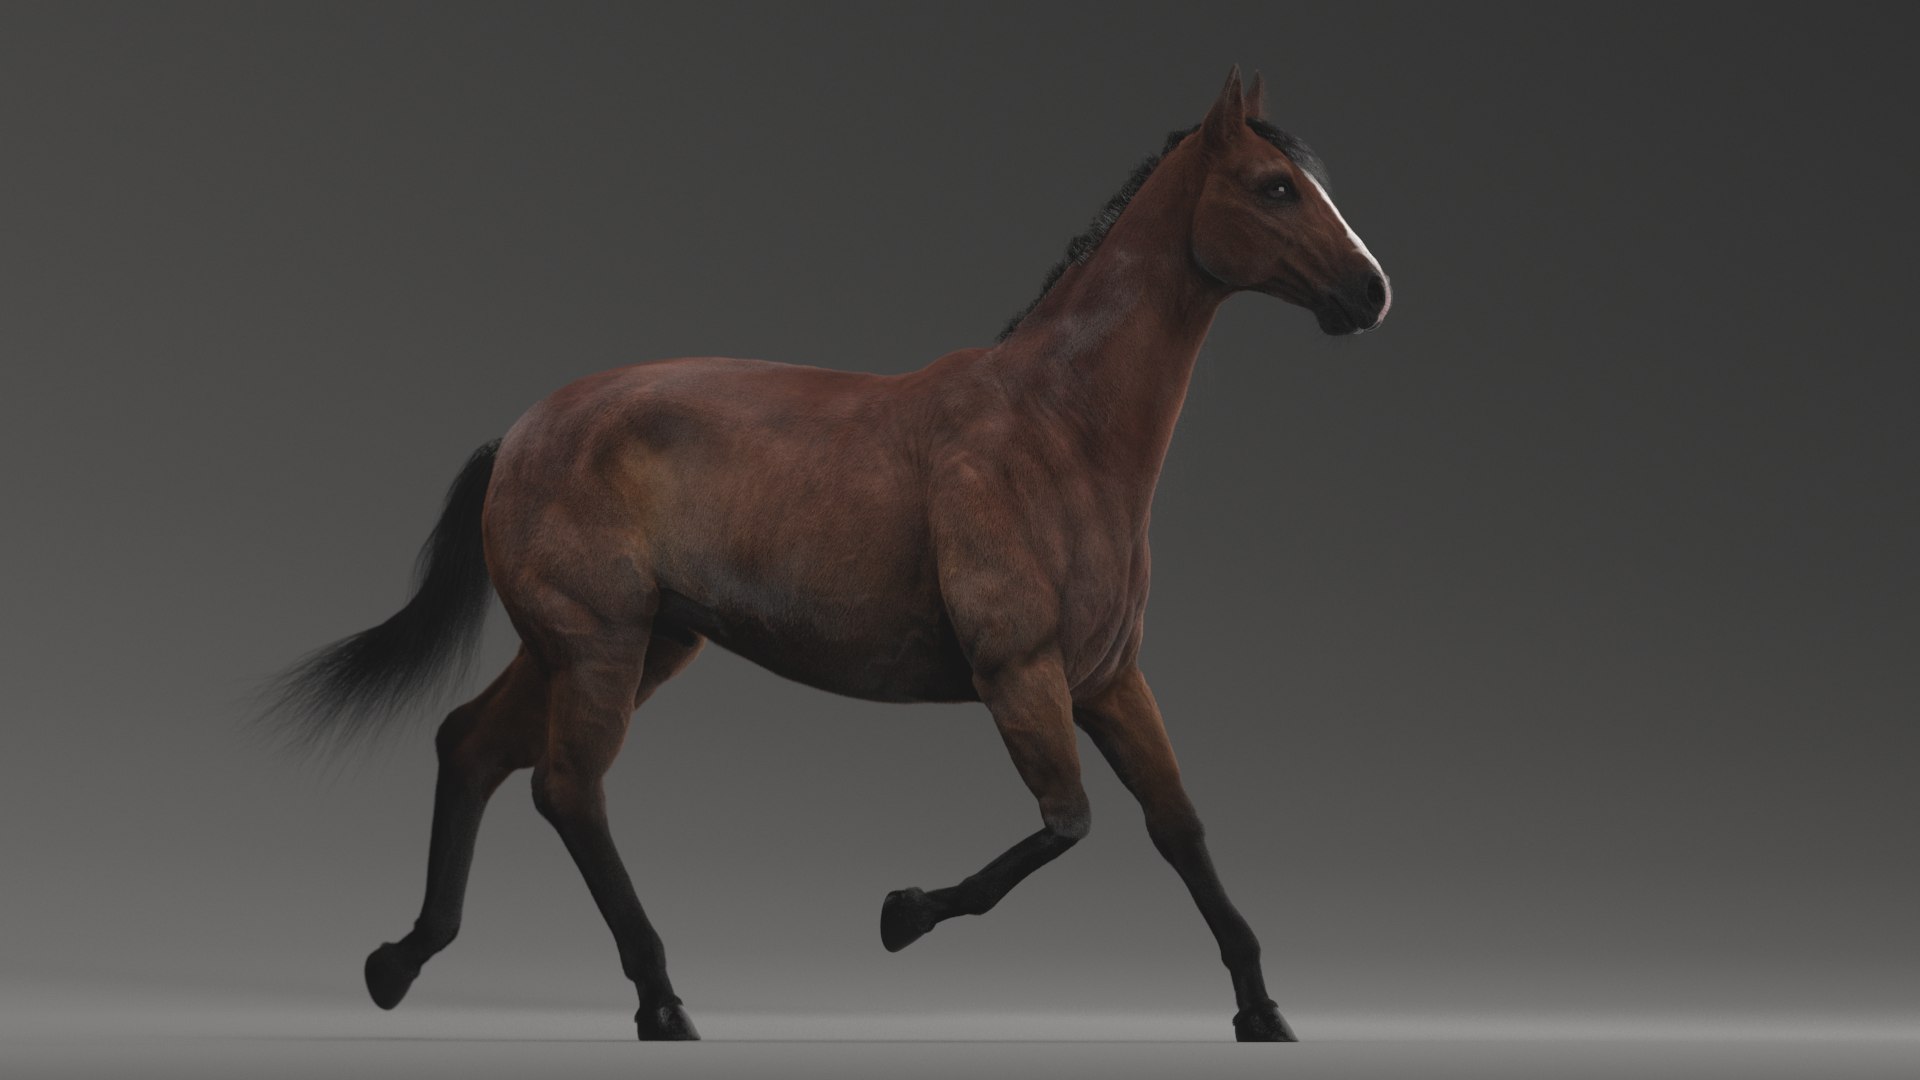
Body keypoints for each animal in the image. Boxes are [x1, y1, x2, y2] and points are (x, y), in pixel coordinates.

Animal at [266, 68, 1390, 1043]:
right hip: (598, 647)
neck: (1058, 429)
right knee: (564, 788)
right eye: (1276, 185)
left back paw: (398, 964)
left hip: (619, 644)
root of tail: (520, 433)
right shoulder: (1020, 673)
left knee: (471, 746)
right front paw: (902, 913)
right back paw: (661, 1003)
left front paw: (1264, 1012)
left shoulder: (1111, 679)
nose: (1371, 293)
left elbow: (1180, 828)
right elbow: (1067, 822)